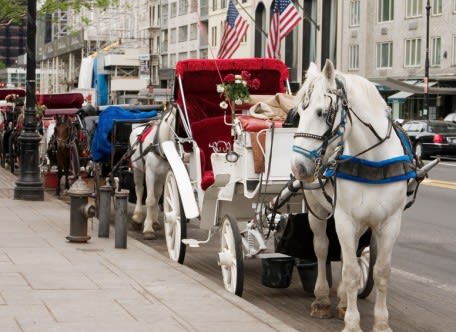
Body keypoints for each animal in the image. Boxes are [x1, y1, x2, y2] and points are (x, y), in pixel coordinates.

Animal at [130, 110, 176, 240]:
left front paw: (152, 223)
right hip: (138, 170)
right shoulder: (150, 173)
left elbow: (158, 197)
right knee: (139, 190)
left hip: (159, 177)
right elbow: (150, 200)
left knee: (157, 193)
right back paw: (138, 216)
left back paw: (154, 220)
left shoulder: (165, 175)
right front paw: (148, 229)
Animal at [290, 60, 416, 332]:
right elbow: (349, 272)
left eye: (320, 112)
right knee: (321, 248)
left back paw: (343, 301)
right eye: (298, 115)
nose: (298, 168)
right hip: (317, 209)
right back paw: (323, 298)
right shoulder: (345, 219)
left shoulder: (391, 222)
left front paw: (381, 322)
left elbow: (381, 271)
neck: (373, 162)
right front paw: (352, 323)